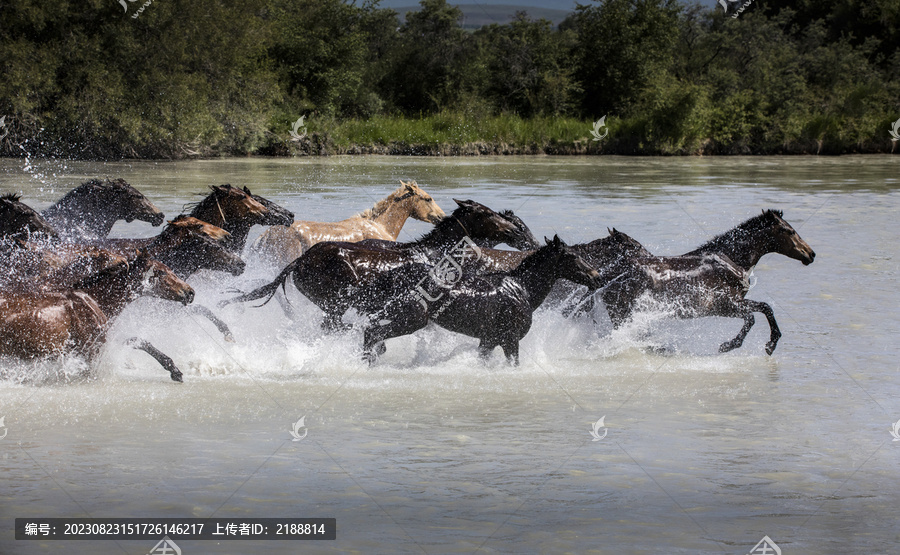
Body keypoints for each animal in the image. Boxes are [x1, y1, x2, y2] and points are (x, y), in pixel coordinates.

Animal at [360, 237, 604, 368]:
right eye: (573, 256)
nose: (597, 277)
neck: (520, 289)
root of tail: (395, 274)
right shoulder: (510, 340)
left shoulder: (489, 340)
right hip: (410, 319)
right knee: (373, 333)